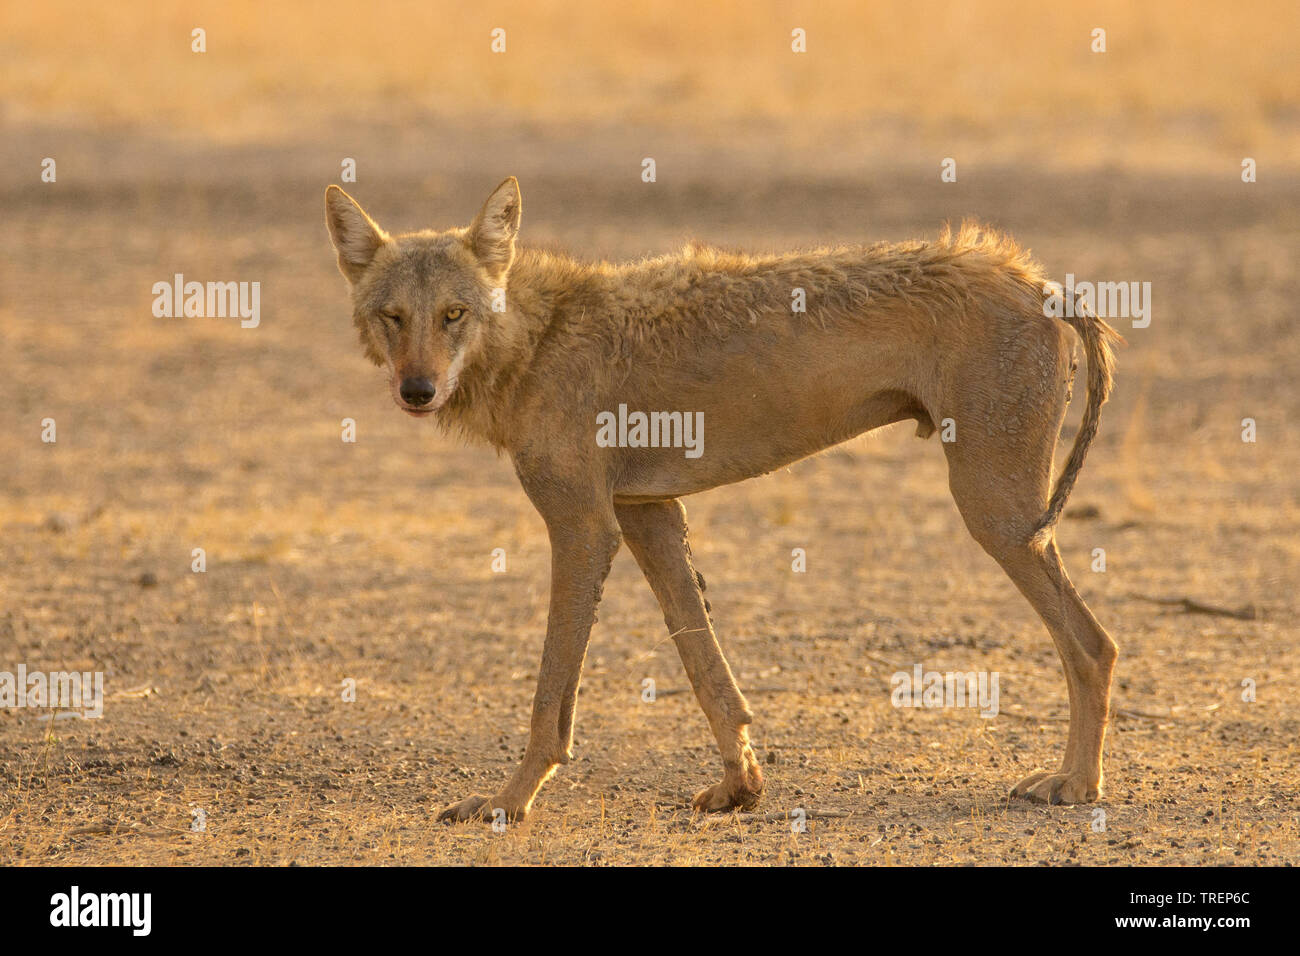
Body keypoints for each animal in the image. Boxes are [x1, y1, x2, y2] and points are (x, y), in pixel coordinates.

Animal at [325, 177, 1121, 822]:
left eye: (453, 314)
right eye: (394, 316)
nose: (417, 390)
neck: (538, 338)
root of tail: (1039, 282)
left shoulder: (582, 527)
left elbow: (551, 700)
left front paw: (507, 802)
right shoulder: (647, 517)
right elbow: (707, 670)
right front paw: (741, 787)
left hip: (997, 517)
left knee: (1095, 644)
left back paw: (1075, 786)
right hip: (1008, 518)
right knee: (1099, 642)